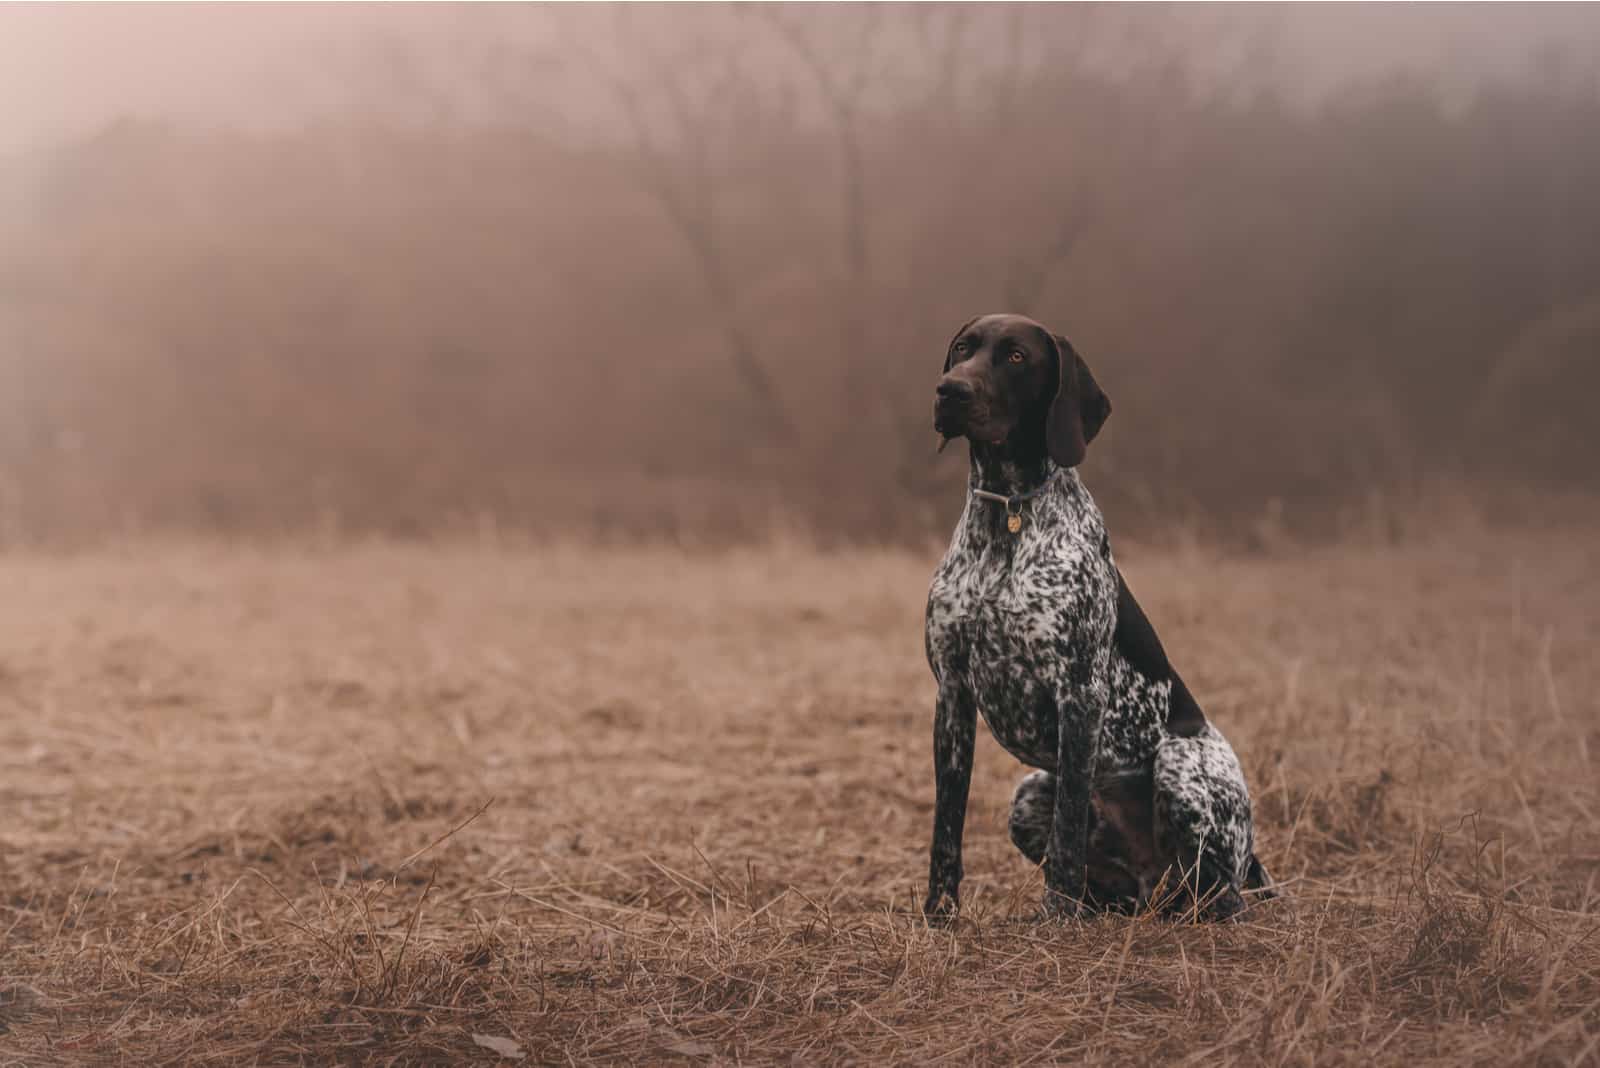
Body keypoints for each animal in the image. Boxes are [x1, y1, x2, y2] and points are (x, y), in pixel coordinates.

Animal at [921, 313, 1267, 920]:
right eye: (963, 349)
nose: (950, 391)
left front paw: (1057, 918)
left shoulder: (1079, 692)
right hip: (1029, 793)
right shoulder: (953, 693)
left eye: (1016, 357)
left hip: (1181, 766)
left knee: (1223, 892)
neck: (1007, 513)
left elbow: (1069, 824)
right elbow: (947, 824)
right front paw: (938, 916)